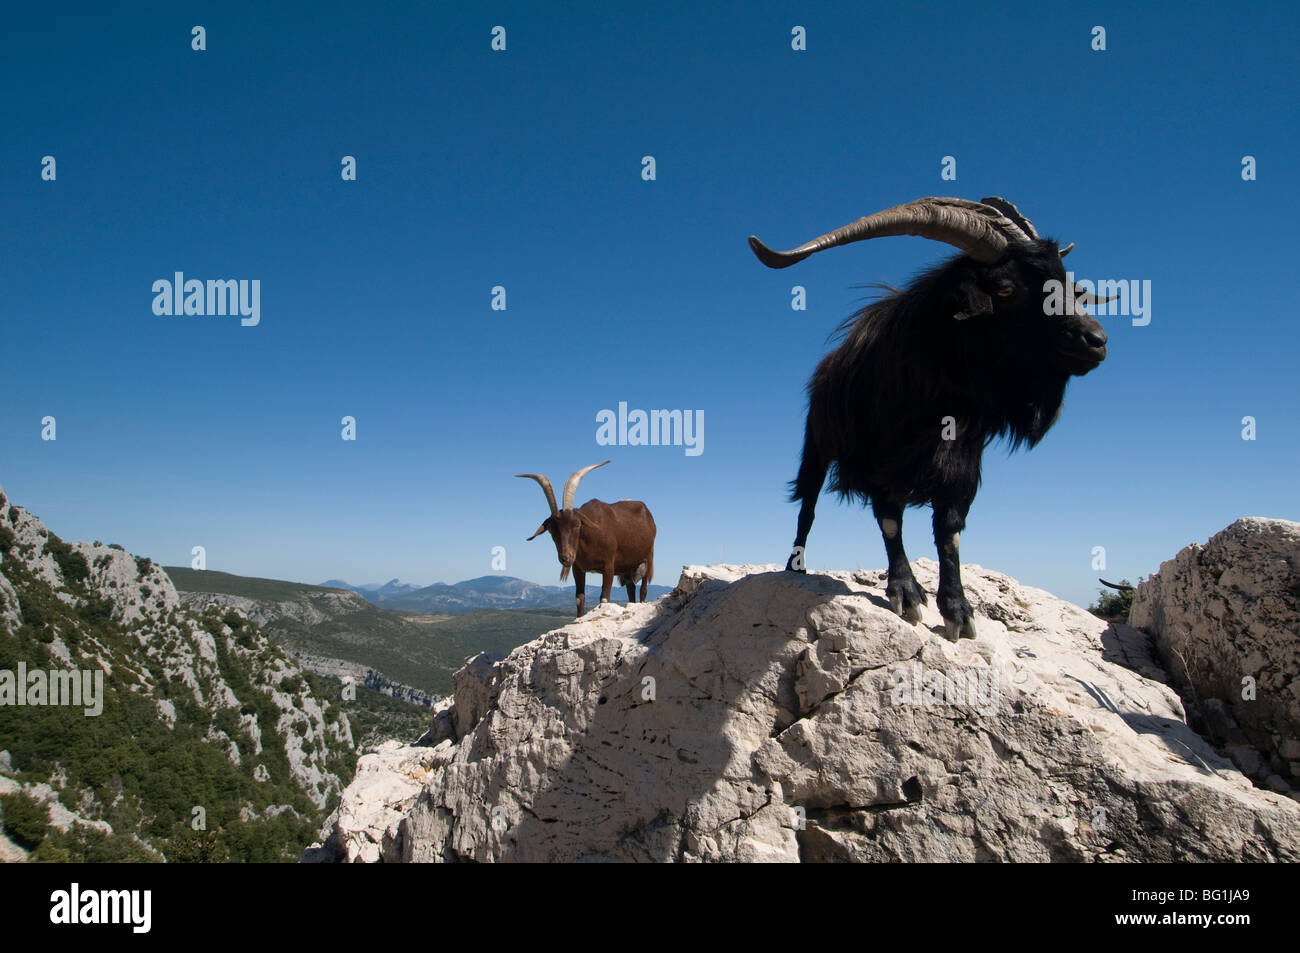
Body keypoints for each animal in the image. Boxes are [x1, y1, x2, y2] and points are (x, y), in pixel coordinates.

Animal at [514, 460, 655, 616]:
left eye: (577, 524)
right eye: (551, 529)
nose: (566, 557)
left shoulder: (609, 566)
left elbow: (604, 598)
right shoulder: (578, 569)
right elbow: (579, 598)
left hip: (648, 558)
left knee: (643, 589)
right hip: (627, 567)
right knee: (631, 589)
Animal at [754, 195, 1107, 639]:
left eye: (1067, 284)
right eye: (1006, 288)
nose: (1096, 341)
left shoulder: (962, 460)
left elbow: (949, 530)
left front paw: (957, 609)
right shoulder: (876, 457)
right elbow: (890, 518)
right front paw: (905, 592)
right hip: (817, 445)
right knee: (808, 505)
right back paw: (796, 565)